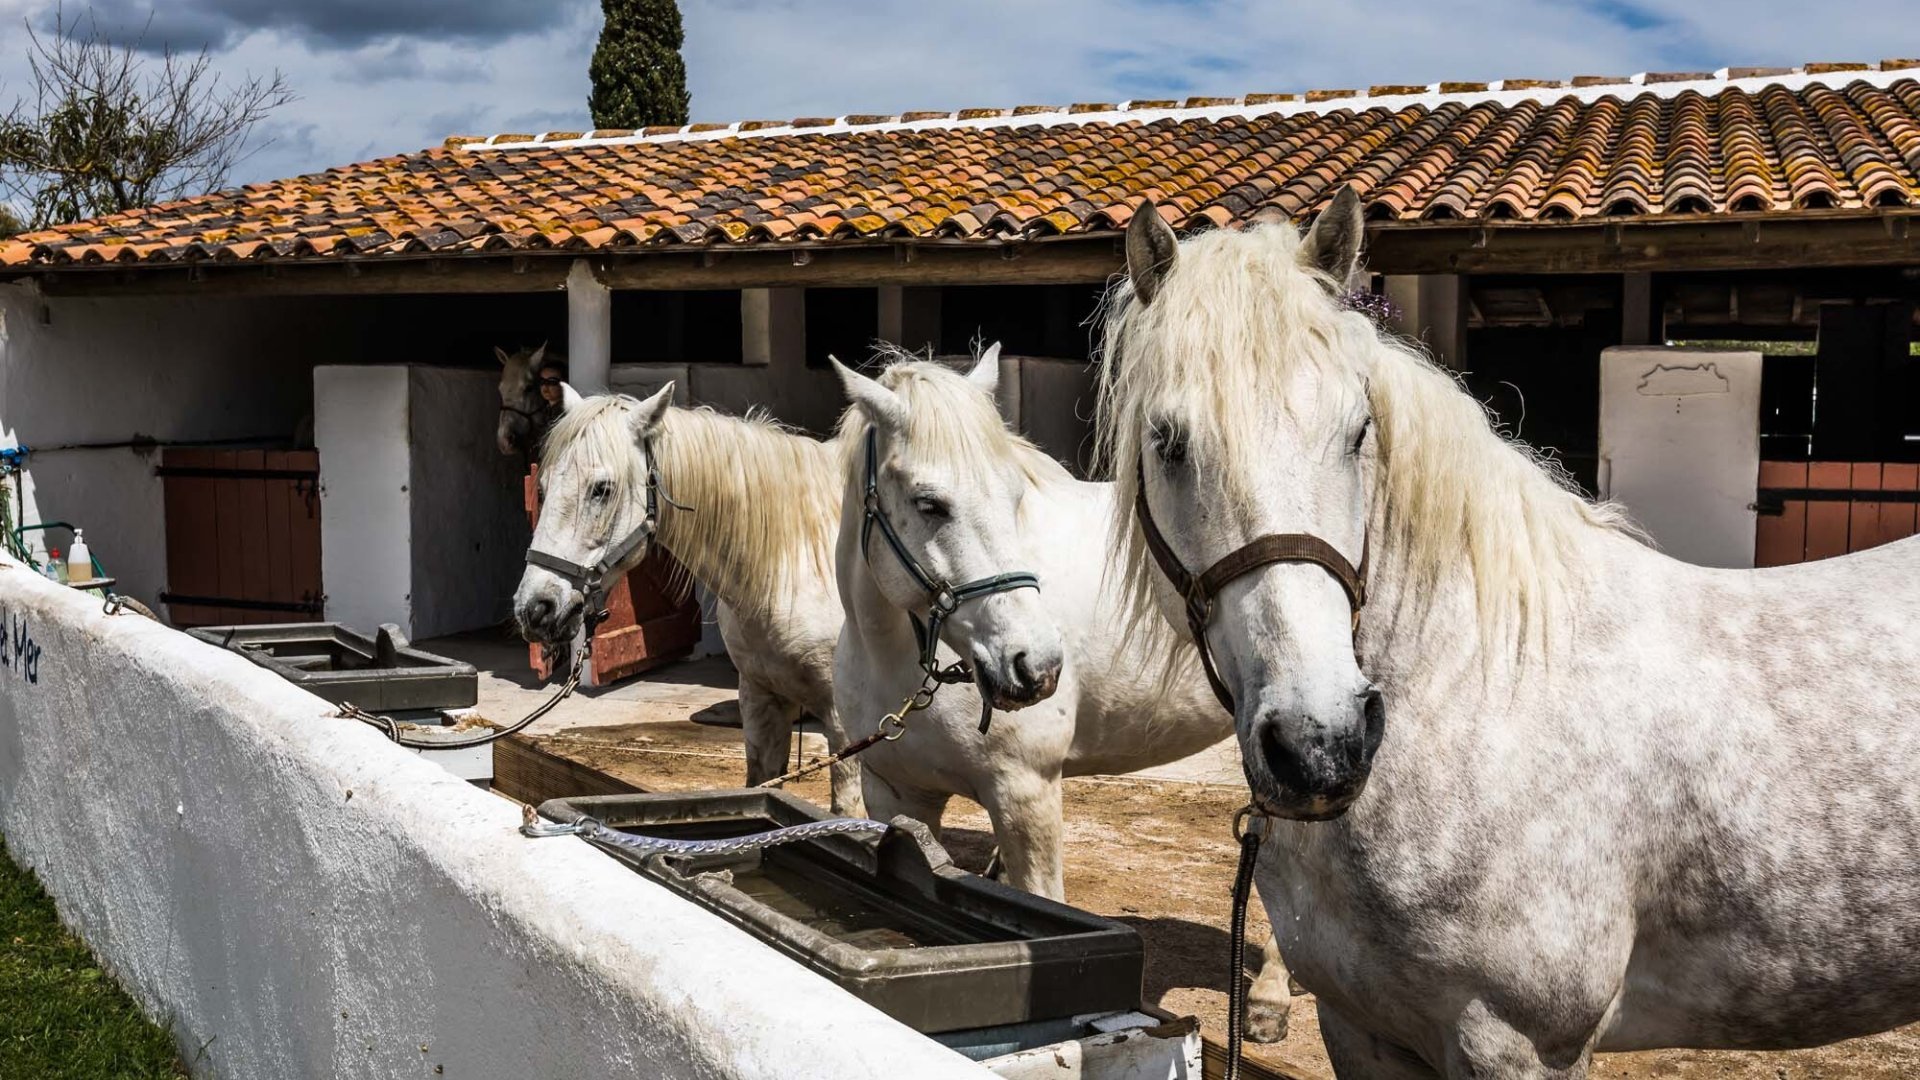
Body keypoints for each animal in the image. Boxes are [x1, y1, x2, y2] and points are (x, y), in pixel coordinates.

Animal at [510, 383, 864, 816]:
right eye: (542, 488)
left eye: (602, 489)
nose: (535, 609)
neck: (792, 562)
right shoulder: (760, 699)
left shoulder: (845, 724)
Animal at [831, 347, 1299, 1038]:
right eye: (929, 502)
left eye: (1015, 495)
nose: (1036, 666)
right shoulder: (895, 793)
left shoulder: (1026, 794)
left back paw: (1268, 998)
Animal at [1094, 186, 1920, 1076]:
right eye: (1167, 441)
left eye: (1358, 431)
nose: (1322, 744)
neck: (1478, 697)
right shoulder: (1360, 1029)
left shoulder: (1517, 1044)